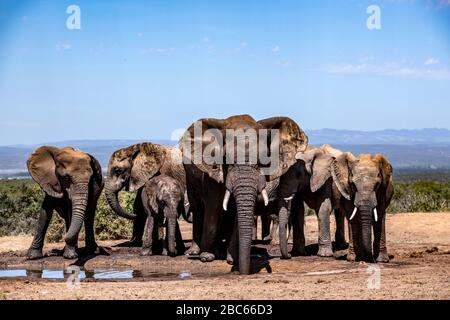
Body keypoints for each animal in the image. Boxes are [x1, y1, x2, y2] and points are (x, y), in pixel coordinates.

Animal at [180, 115, 310, 276]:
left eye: (264, 160)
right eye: (226, 158)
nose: (242, 272)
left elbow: (238, 212)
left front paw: (232, 260)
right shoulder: (214, 172)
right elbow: (215, 206)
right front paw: (207, 257)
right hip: (189, 178)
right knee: (198, 208)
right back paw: (196, 252)